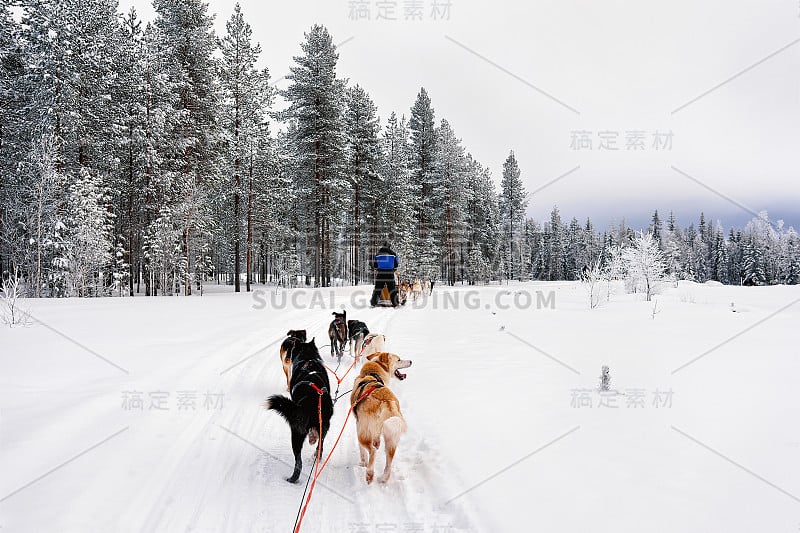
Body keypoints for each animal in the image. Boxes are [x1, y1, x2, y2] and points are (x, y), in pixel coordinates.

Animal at [268, 340, 332, 482]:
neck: (307, 359)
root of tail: (313, 399)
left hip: (296, 434)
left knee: (298, 462)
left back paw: (292, 479)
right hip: (324, 426)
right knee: (320, 446)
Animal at [350, 352, 412, 484]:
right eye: (399, 360)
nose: (411, 361)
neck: (372, 375)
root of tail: (386, 401)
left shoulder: (358, 424)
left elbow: (362, 451)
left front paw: (363, 462)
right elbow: (376, 440)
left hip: (363, 432)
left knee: (372, 451)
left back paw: (369, 474)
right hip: (391, 438)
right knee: (388, 464)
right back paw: (383, 478)